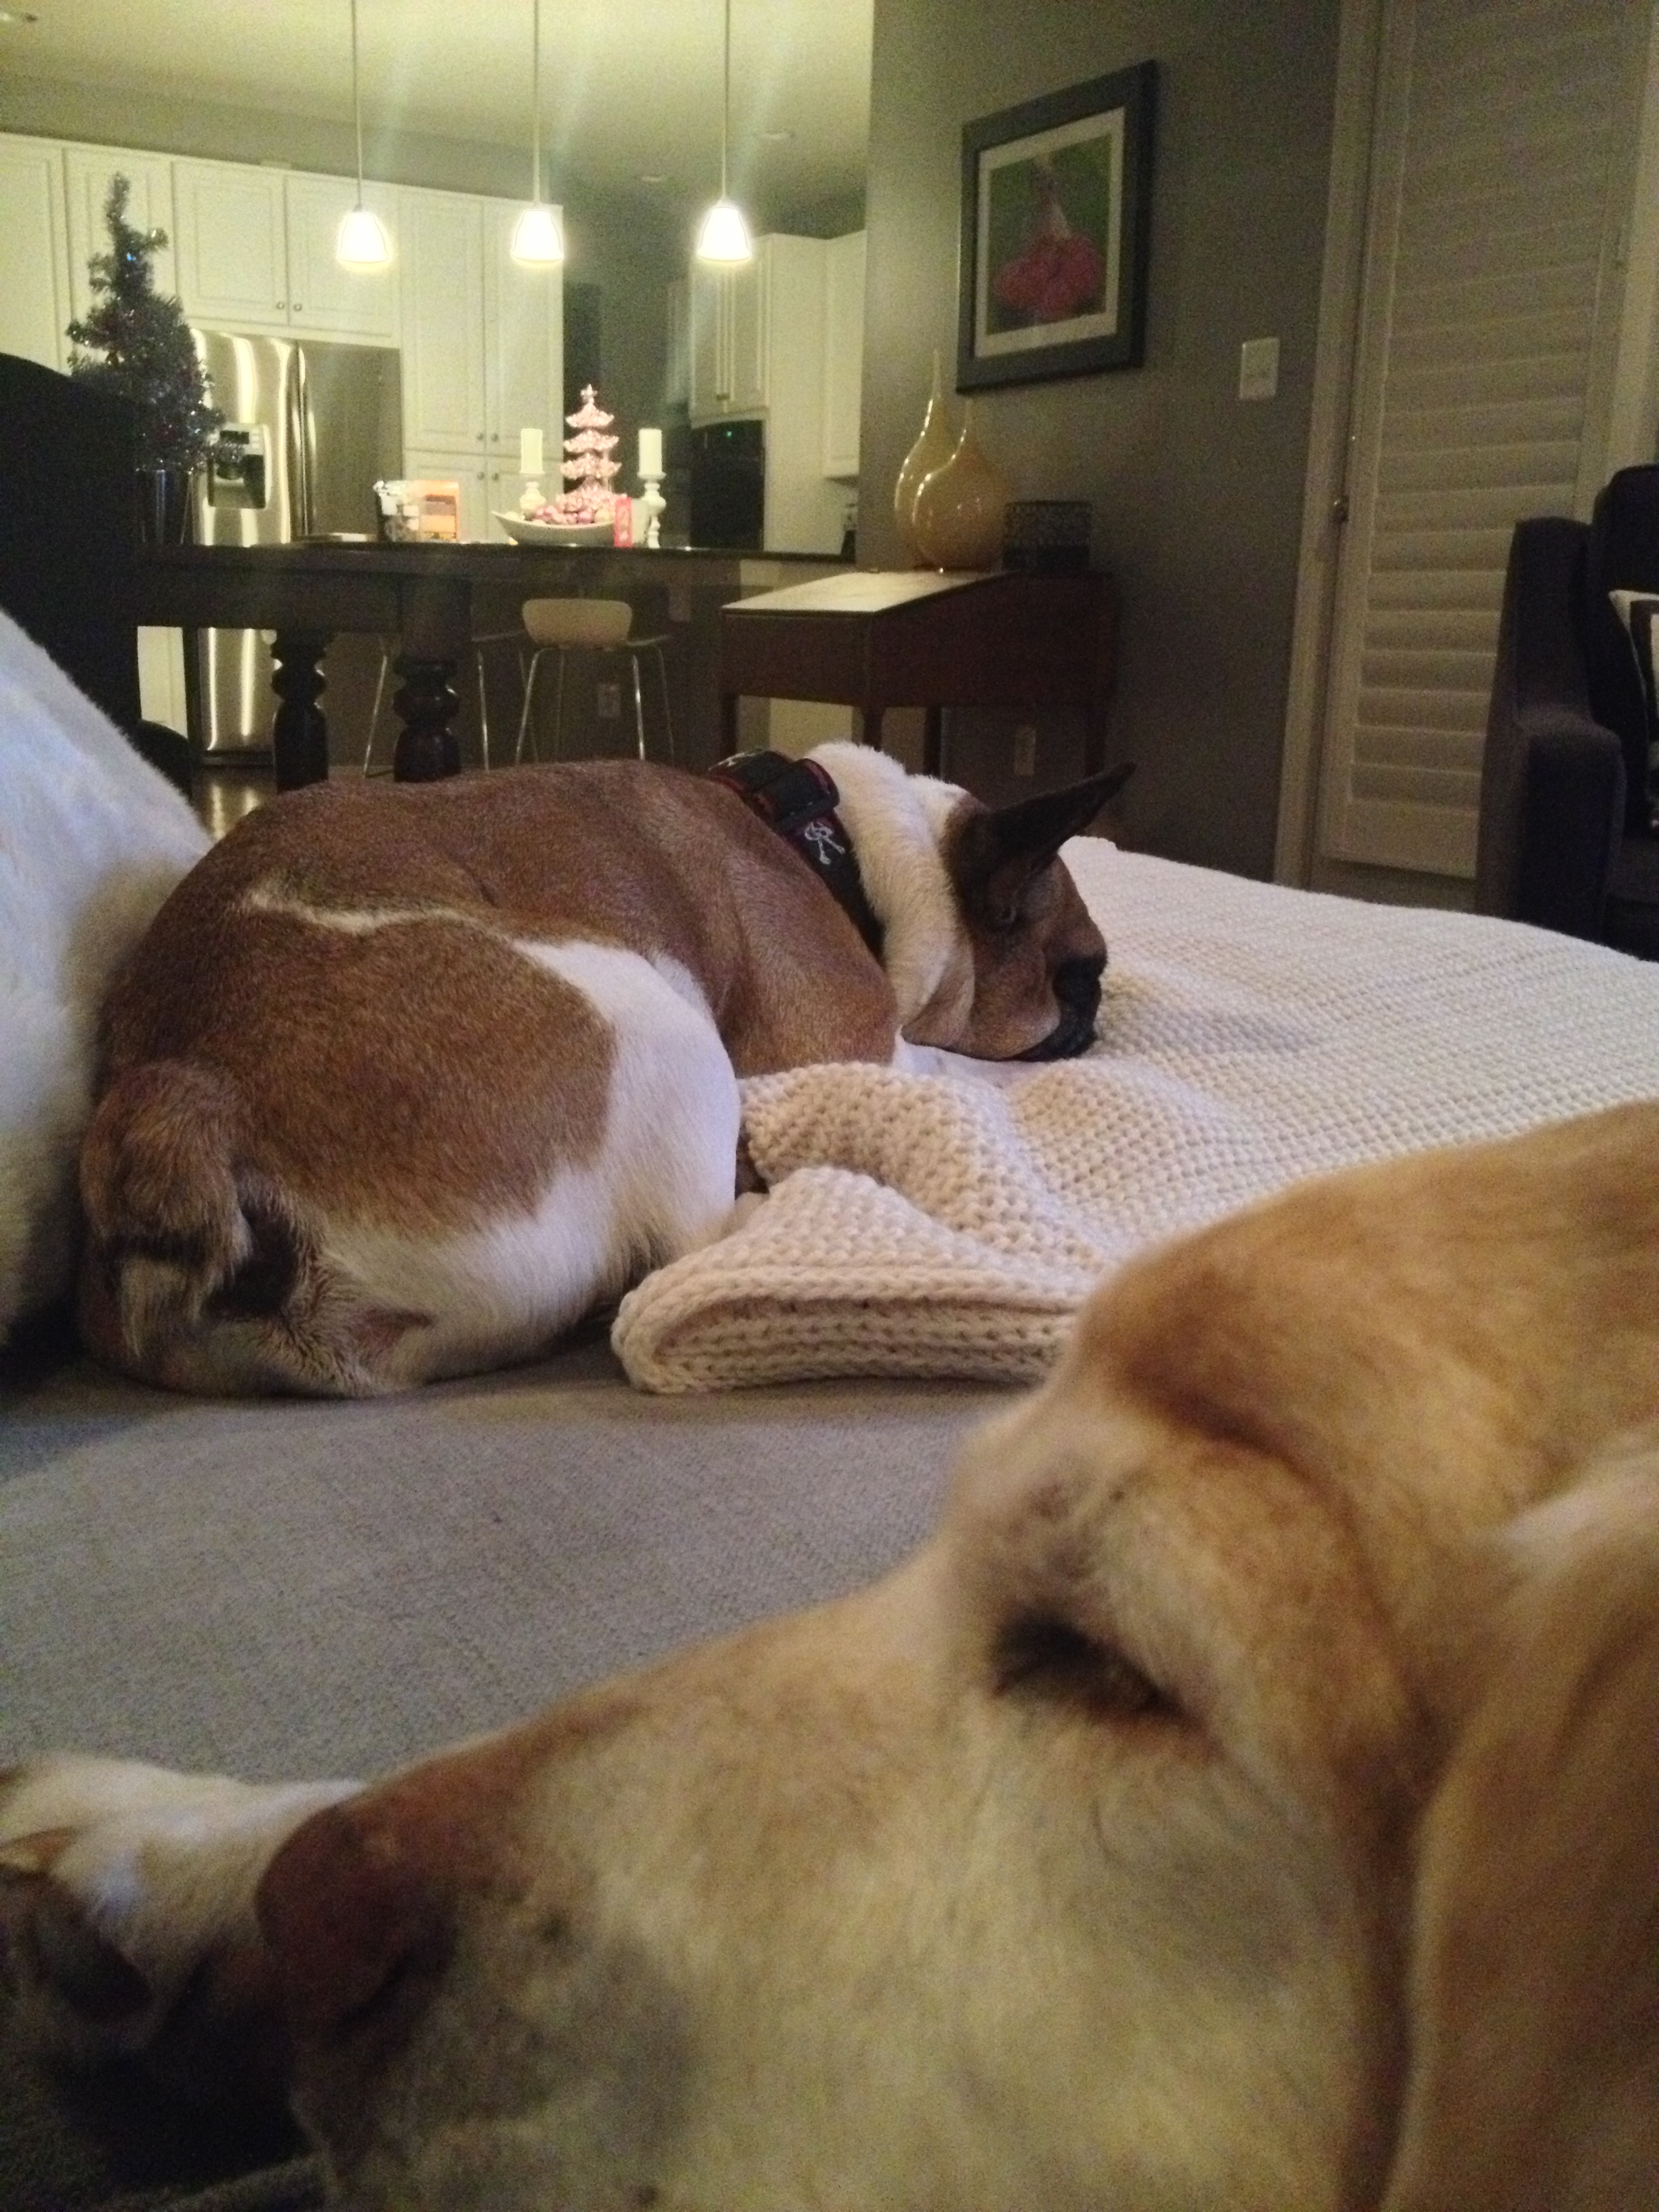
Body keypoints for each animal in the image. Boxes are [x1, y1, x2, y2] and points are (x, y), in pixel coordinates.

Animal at [77, 744, 1127, 1397]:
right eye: (1082, 973)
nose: (1099, 1011)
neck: (840, 850)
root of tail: (188, 1094)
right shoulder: (844, 1036)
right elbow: (946, 1063)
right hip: (657, 1019)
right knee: (692, 1238)